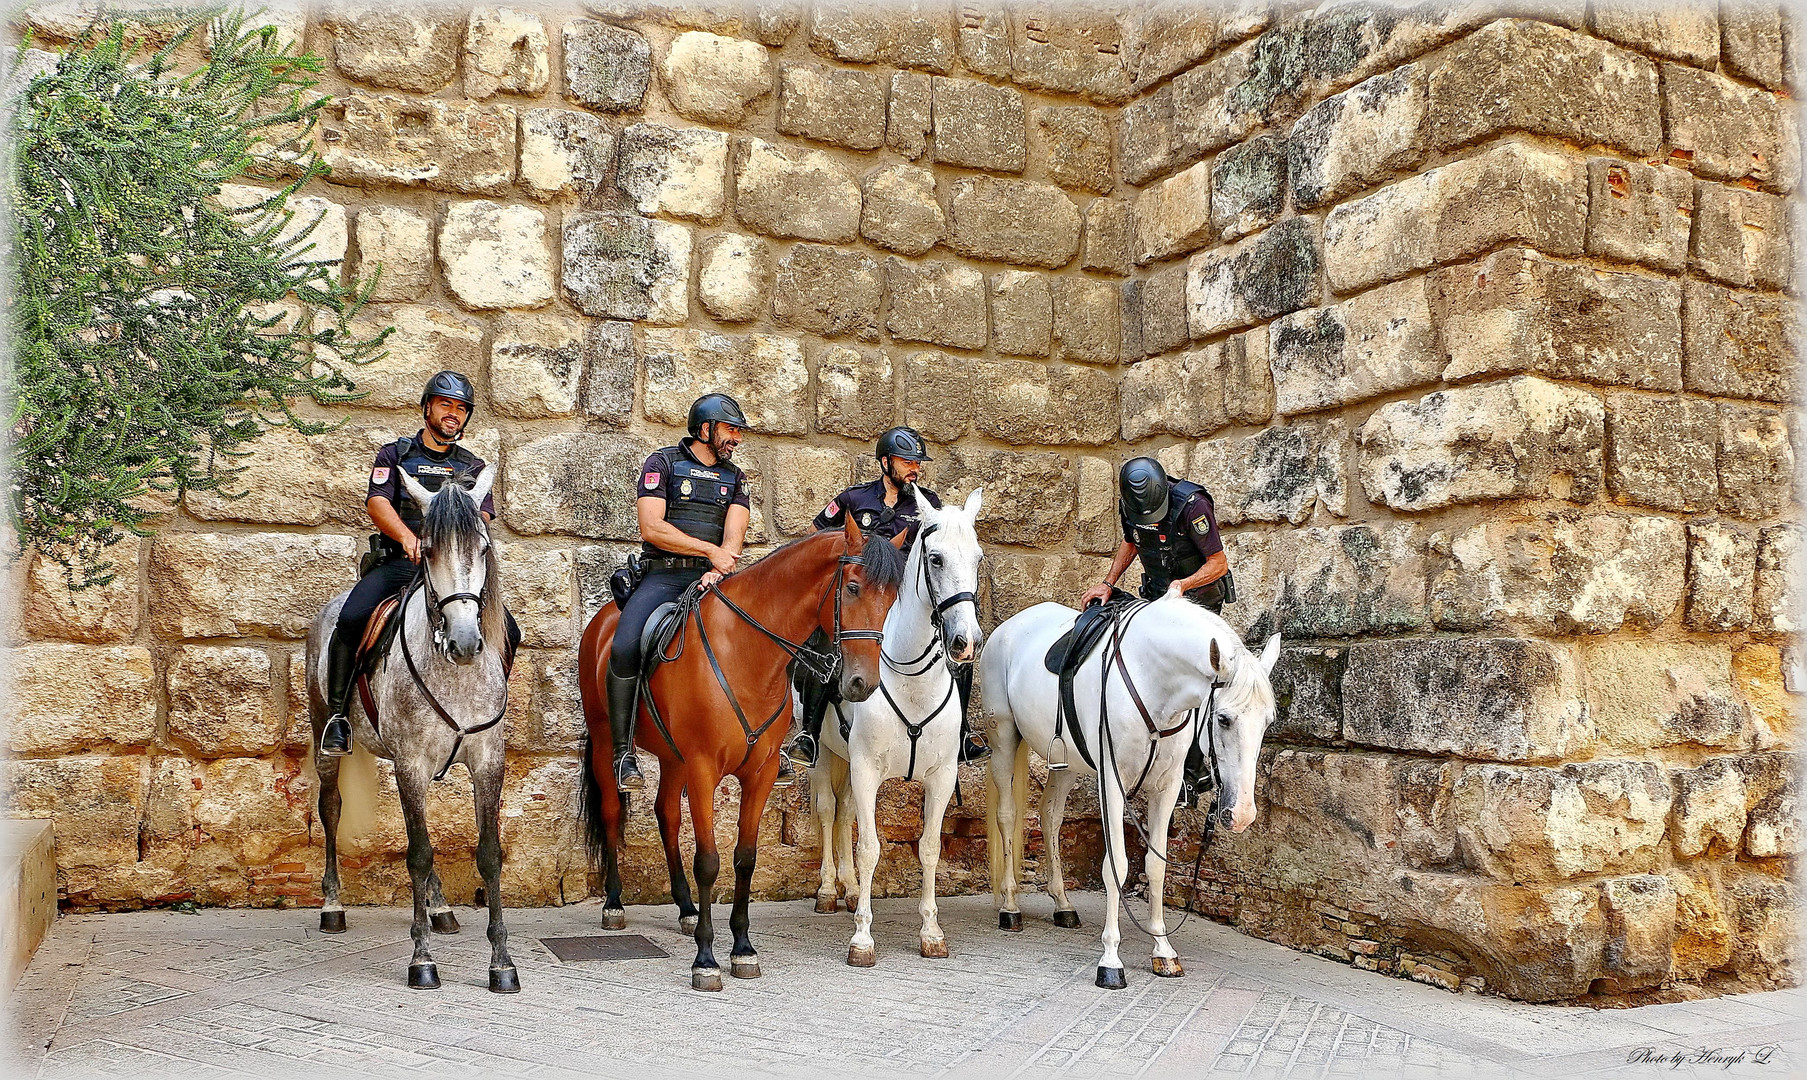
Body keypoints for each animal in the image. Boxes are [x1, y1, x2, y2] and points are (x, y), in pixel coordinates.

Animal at [301, 469, 516, 996]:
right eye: (429, 549)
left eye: (482, 548)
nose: (465, 642)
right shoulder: (411, 764)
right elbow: (418, 853)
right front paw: (422, 960)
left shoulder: (487, 762)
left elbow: (489, 854)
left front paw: (501, 962)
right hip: (325, 737)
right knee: (331, 807)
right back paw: (332, 906)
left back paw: (440, 907)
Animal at [578, 520, 903, 996]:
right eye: (854, 588)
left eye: (893, 598)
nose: (862, 683)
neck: (749, 652)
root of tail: (603, 618)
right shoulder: (702, 769)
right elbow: (709, 861)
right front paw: (706, 959)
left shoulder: (759, 773)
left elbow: (745, 858)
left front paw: (743, 949)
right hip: (607, 741)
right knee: (611, 810)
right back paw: (615, 903)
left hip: (673, 759)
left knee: (666, 816)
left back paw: (685, 907)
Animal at [809, 487, 990, 968]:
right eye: (936, 559)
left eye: (978, 558)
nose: (966, 642)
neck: (911, 679)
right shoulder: (866, 768)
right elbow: (870, 847)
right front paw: (862, 940)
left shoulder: (941, 776)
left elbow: (929, 848)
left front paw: (931, 932)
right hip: (824, 755)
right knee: (829, 810)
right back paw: (829, 888)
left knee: (845, 812)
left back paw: (850, 889)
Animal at [983, 595, 1279, 996]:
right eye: (1223, 719)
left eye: (1268, 721)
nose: (1243, 813)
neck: (1153, 681)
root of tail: (1008, 627)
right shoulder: (1112, 782)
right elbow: (1117, 867)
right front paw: (1110, 960)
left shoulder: (1166, 789)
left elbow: (1156, 865)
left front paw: (1163, 949)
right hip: (1003, 740)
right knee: (1008, 815)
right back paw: (1010, 906)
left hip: (1066, 762)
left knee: (1050, 816)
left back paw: (1062, 903)